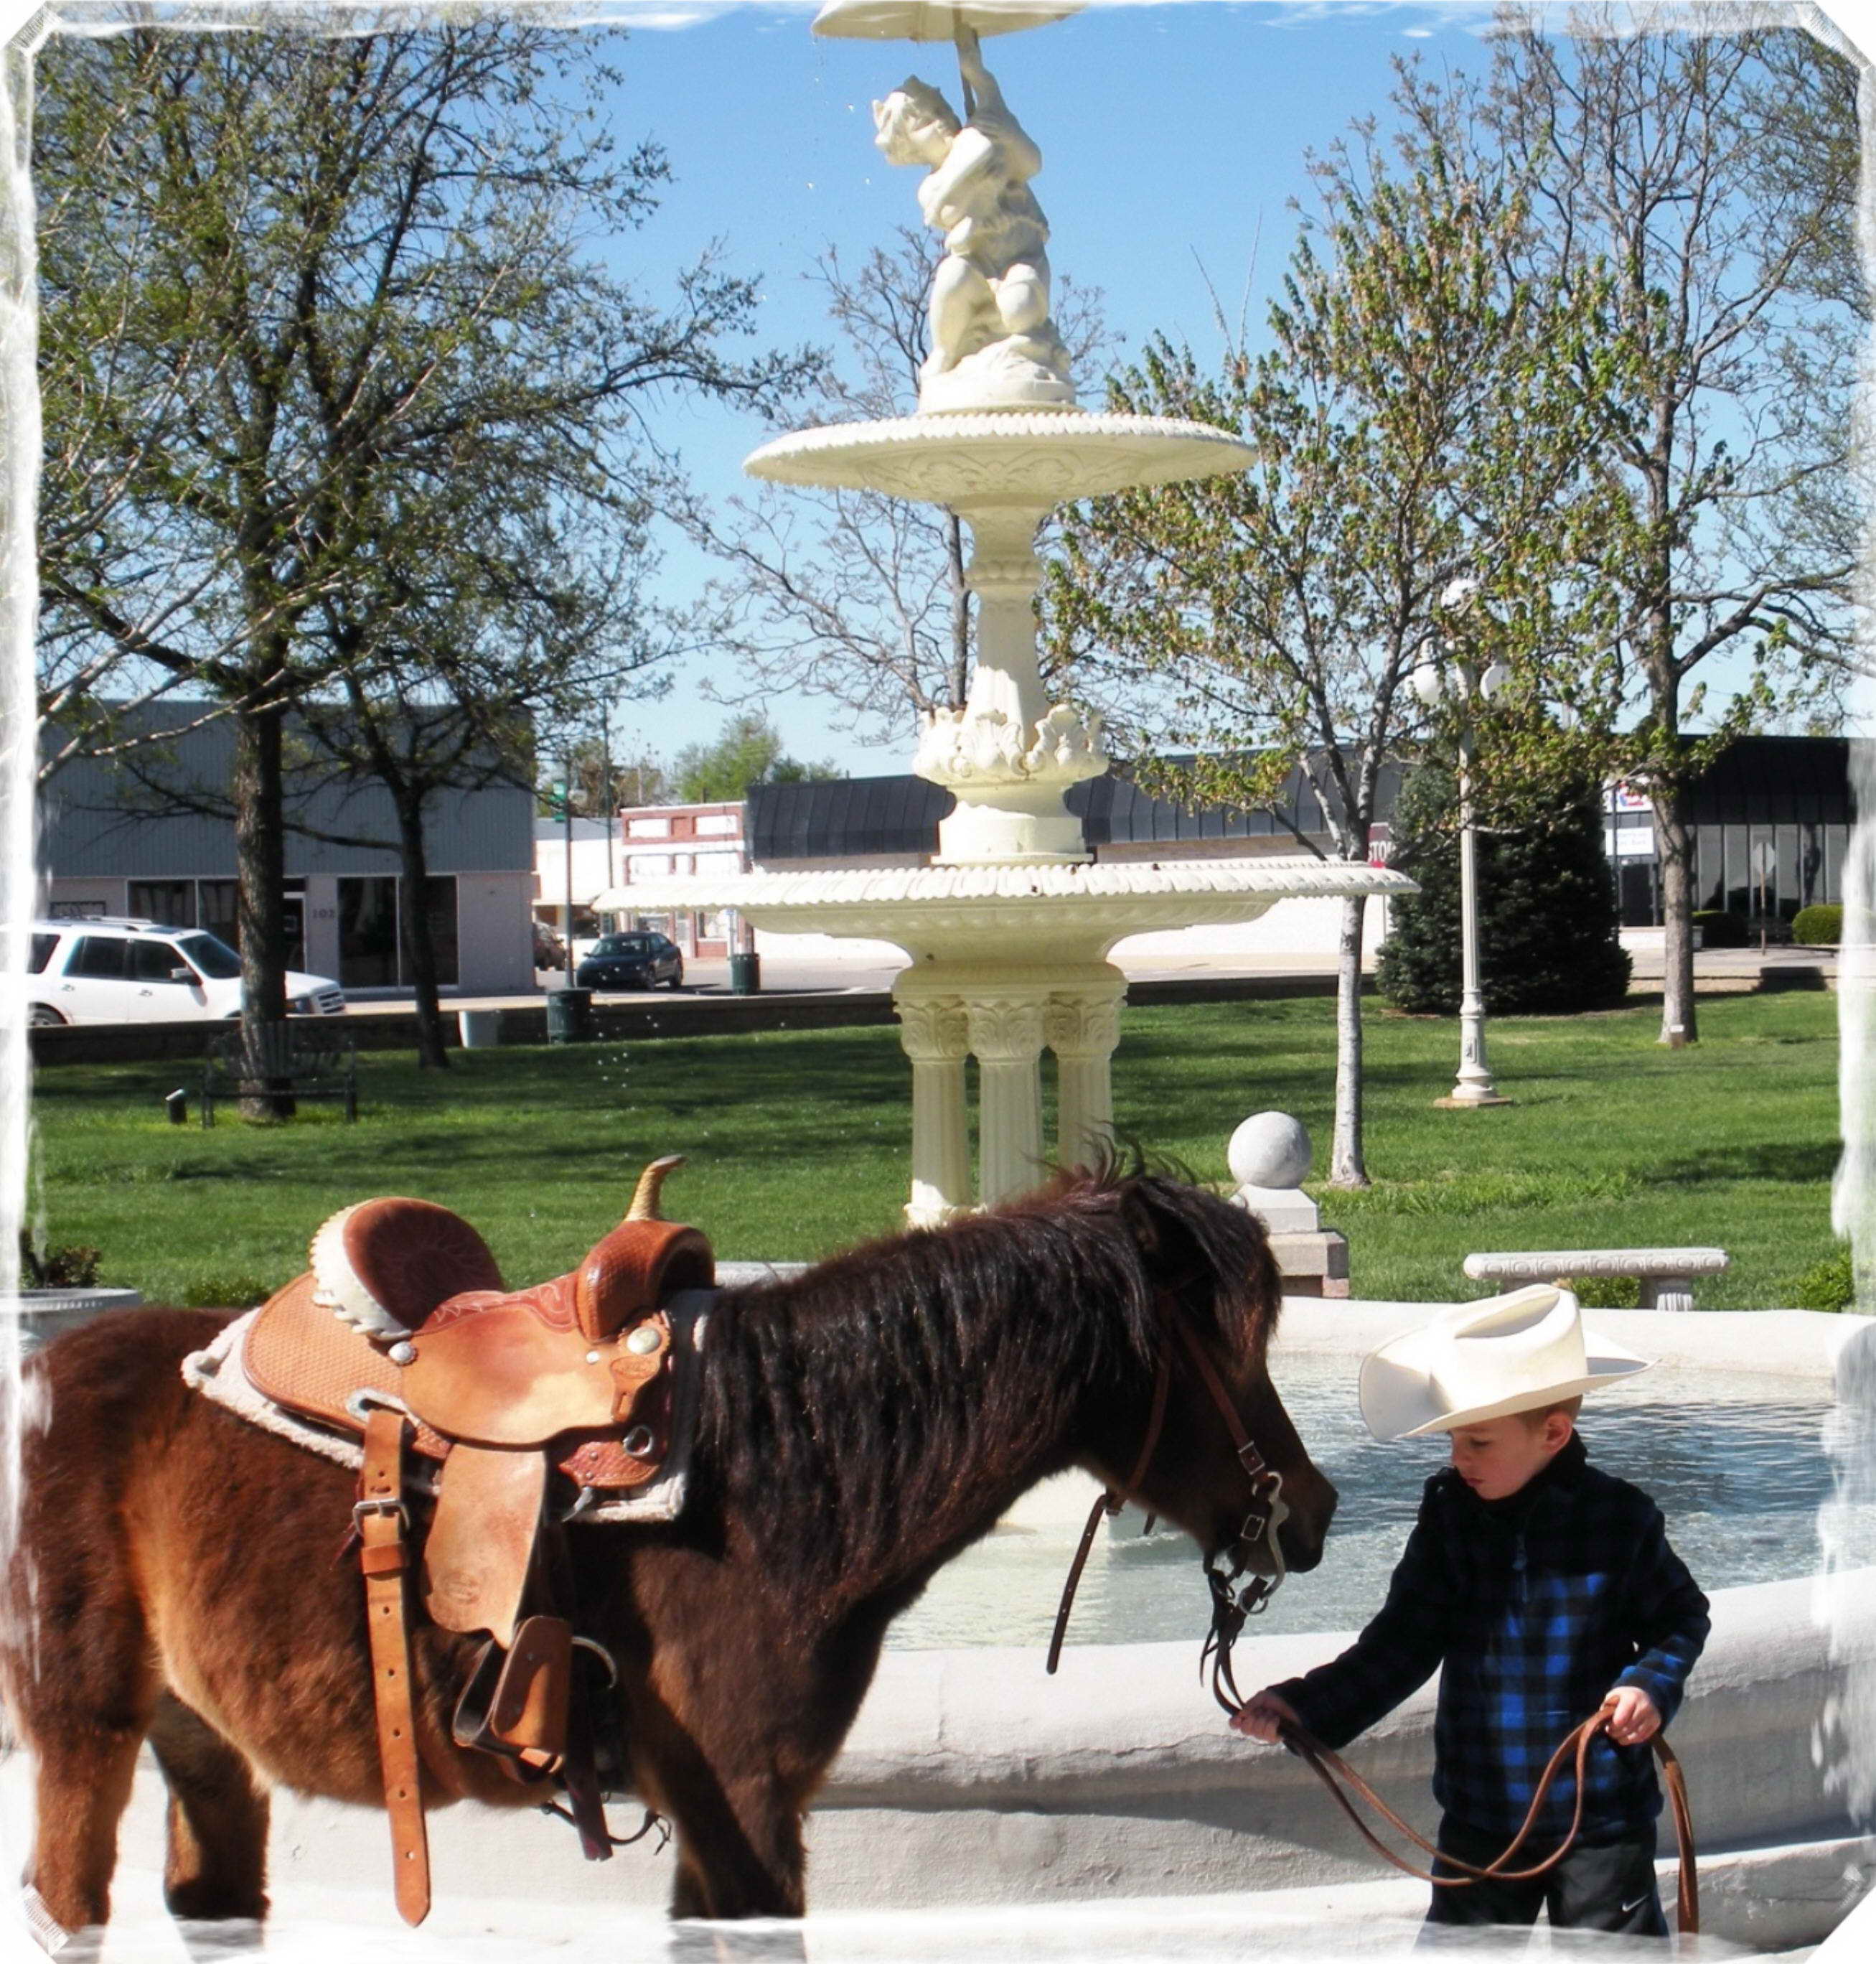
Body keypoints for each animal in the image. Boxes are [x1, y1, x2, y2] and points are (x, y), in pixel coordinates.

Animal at [7, 1162, 1343, 1932]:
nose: (1313, 1513)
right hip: (80, 1730)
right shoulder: (740, 1801)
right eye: (1227, 1346)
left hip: (202, 1744)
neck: (785, 1469)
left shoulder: (734, 1814)